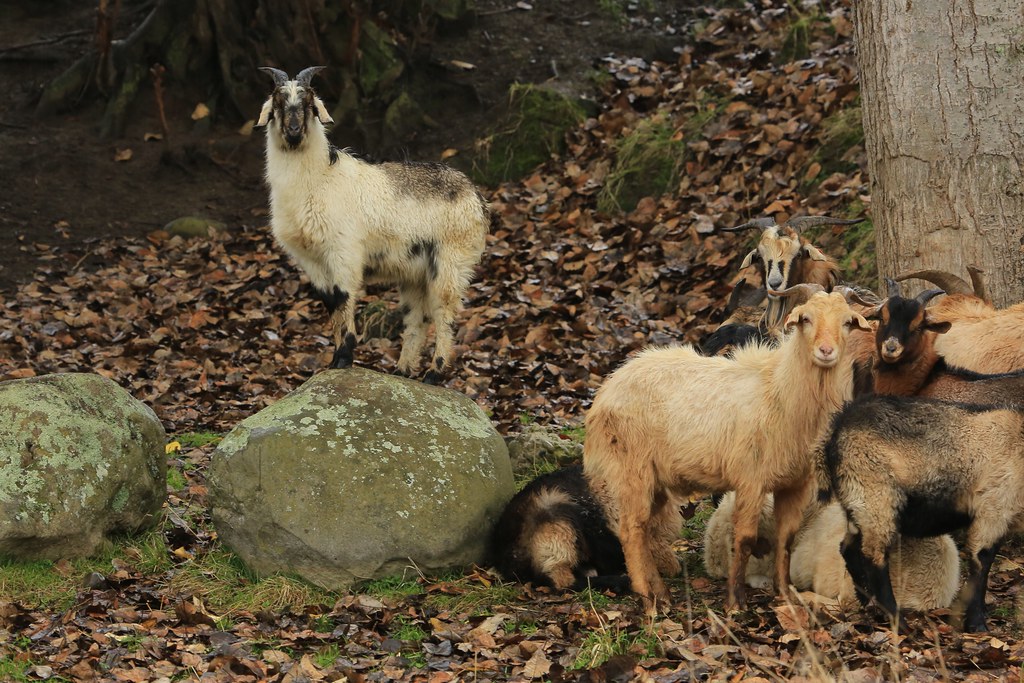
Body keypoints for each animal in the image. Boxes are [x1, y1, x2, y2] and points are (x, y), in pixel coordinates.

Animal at [256, 66, 489, 382]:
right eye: (278, 104)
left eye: (309, 104)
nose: (293, 131)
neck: (318, 179)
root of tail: (476, 196)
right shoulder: (310, 259)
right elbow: (330, 302)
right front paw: (335, 359)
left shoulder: (344, 251)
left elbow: (343, 296)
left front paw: (344, 357)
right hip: (414, 273)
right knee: (416, 319)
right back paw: (403, 371)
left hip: (451, 261)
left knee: (445, 312)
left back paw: (434, 373)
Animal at [583, 283, 871, 613]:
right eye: (805, 319)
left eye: (847, 322)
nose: (826, 352)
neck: (780, 389)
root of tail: (606, 390)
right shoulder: (750, 480)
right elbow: (744, 540)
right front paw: (735, 603)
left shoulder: (795, 484)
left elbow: (786, 539)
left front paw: (784, 595)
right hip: (631, 471)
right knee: (631, 532)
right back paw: (649, 602)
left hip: (653, 480)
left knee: (644, 531)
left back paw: (662, 594)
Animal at [822, 396, 1024, 632]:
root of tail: (839, 426)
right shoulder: (993, 507)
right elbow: (981, 562)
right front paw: (977, 624)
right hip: (875, 495)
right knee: (874, 557)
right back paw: (899, 623)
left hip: (856, 503)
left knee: (849, 548)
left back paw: (866, 600)